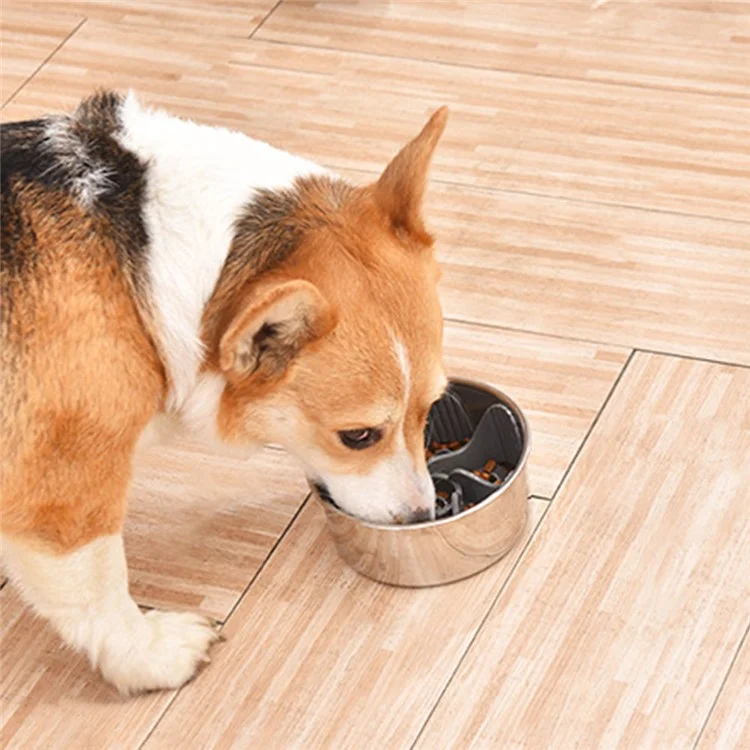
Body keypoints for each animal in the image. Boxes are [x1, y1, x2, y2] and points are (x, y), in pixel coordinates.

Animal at [0, 91, 450, 696]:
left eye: (430, 411)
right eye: (358, 436)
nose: (423, 517)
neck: (149, 257)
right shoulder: (63, 484)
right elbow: (100, 590)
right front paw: (151, 656)